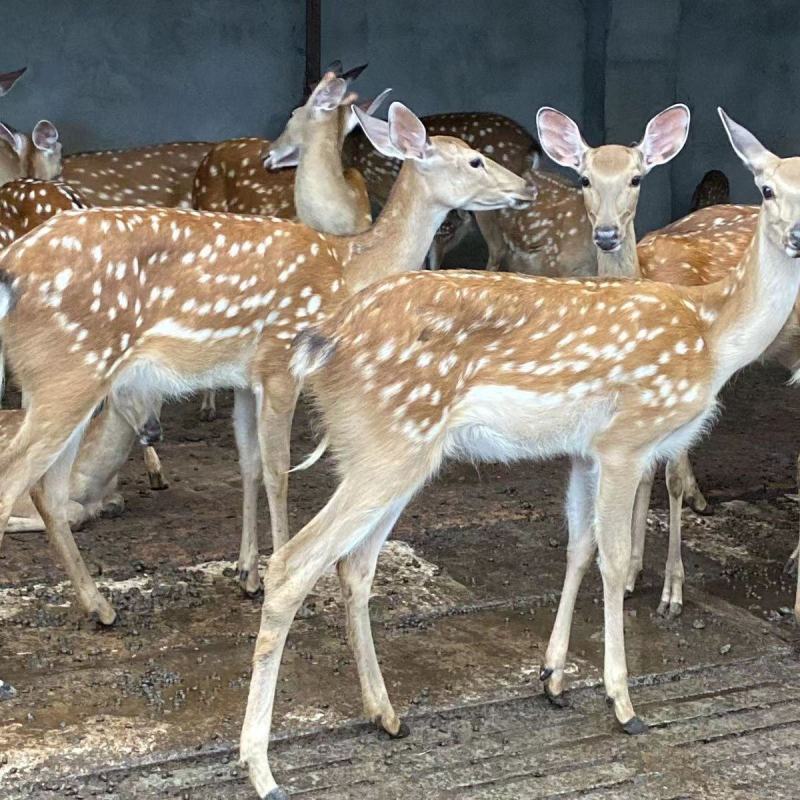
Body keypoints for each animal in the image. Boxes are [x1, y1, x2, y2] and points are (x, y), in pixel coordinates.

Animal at [0, 100, 530, 629]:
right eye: (475, 160)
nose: (527, 186)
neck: (348, 268)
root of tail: (13, 265)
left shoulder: (244, 378)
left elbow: (249, 464)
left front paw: (247, 573)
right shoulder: (281, 360)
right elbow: (278, 470)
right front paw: (274, 574)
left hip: (64, 379)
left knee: (49, 492)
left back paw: (101, 606)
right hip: (70, 367)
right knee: (16, 481)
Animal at [237, 106, 800, 798]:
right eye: (767, 189)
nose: (795, 234)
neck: (712, 334)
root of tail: (325, 342)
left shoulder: (585, 450)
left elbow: (578, 547)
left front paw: (553, 677)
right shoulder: (625, 439)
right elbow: (613, 558)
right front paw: (623, 703)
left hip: (385, 451)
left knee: (354, 564)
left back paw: (386, 715)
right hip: (388, 441)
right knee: (294, 564)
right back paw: (263, 768)